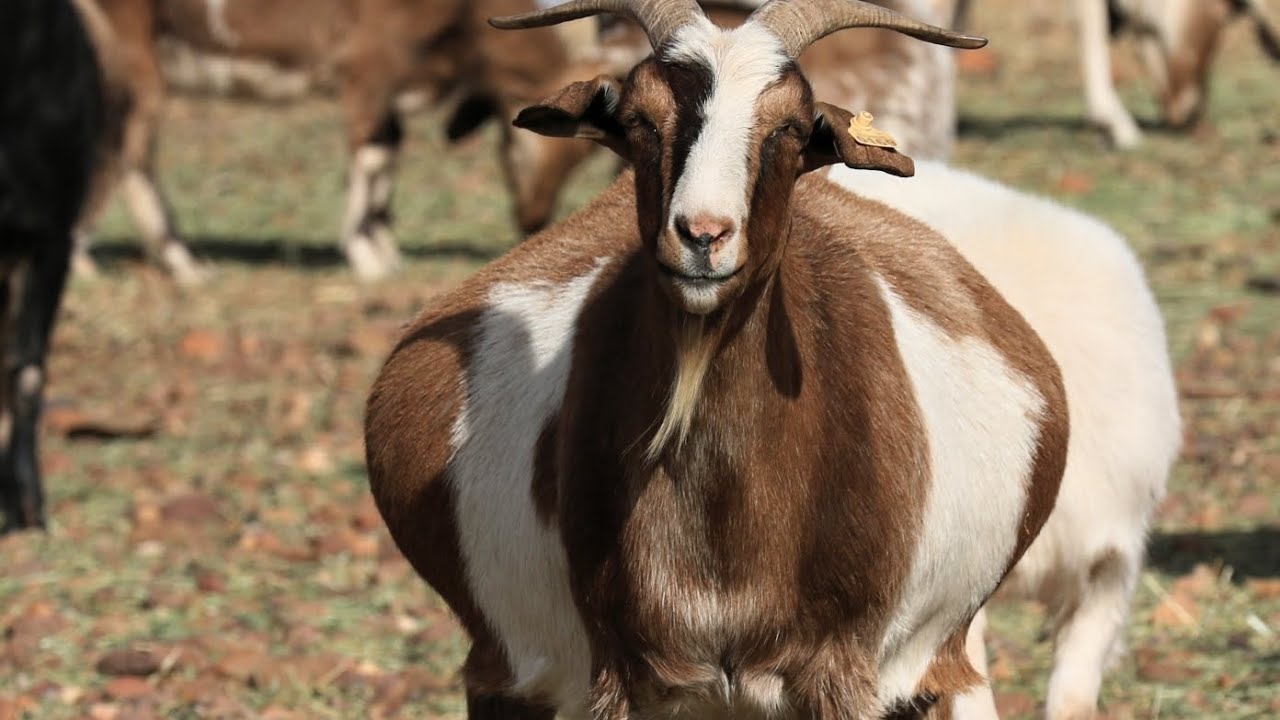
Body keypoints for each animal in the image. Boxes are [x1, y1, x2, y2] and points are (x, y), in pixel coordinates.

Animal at [365, 1, 1070, 717]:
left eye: (793, 126)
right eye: (639, 118)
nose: (702, 236)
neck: (724, 517)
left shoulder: (841, 669)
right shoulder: (615, 674)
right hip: (506, 672)